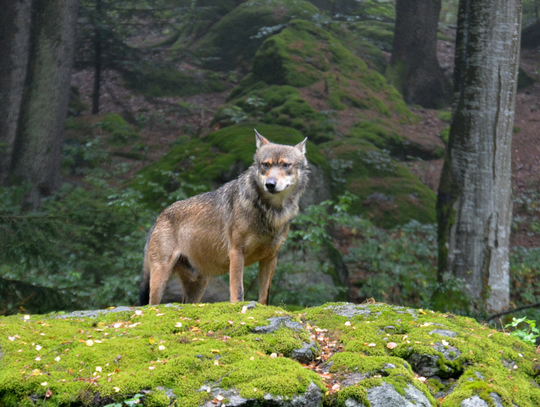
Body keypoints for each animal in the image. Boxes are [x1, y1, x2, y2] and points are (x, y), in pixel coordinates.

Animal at [137, 131, 310, 306]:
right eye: (265, 165)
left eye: (285, 165)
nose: (270, 184)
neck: (271, 211)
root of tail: (159, 216)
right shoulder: (236, 253)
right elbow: (238, 291)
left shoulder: (270, 258)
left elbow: (264, 297)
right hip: (161, 278)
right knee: (151, 305)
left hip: (198, 285)